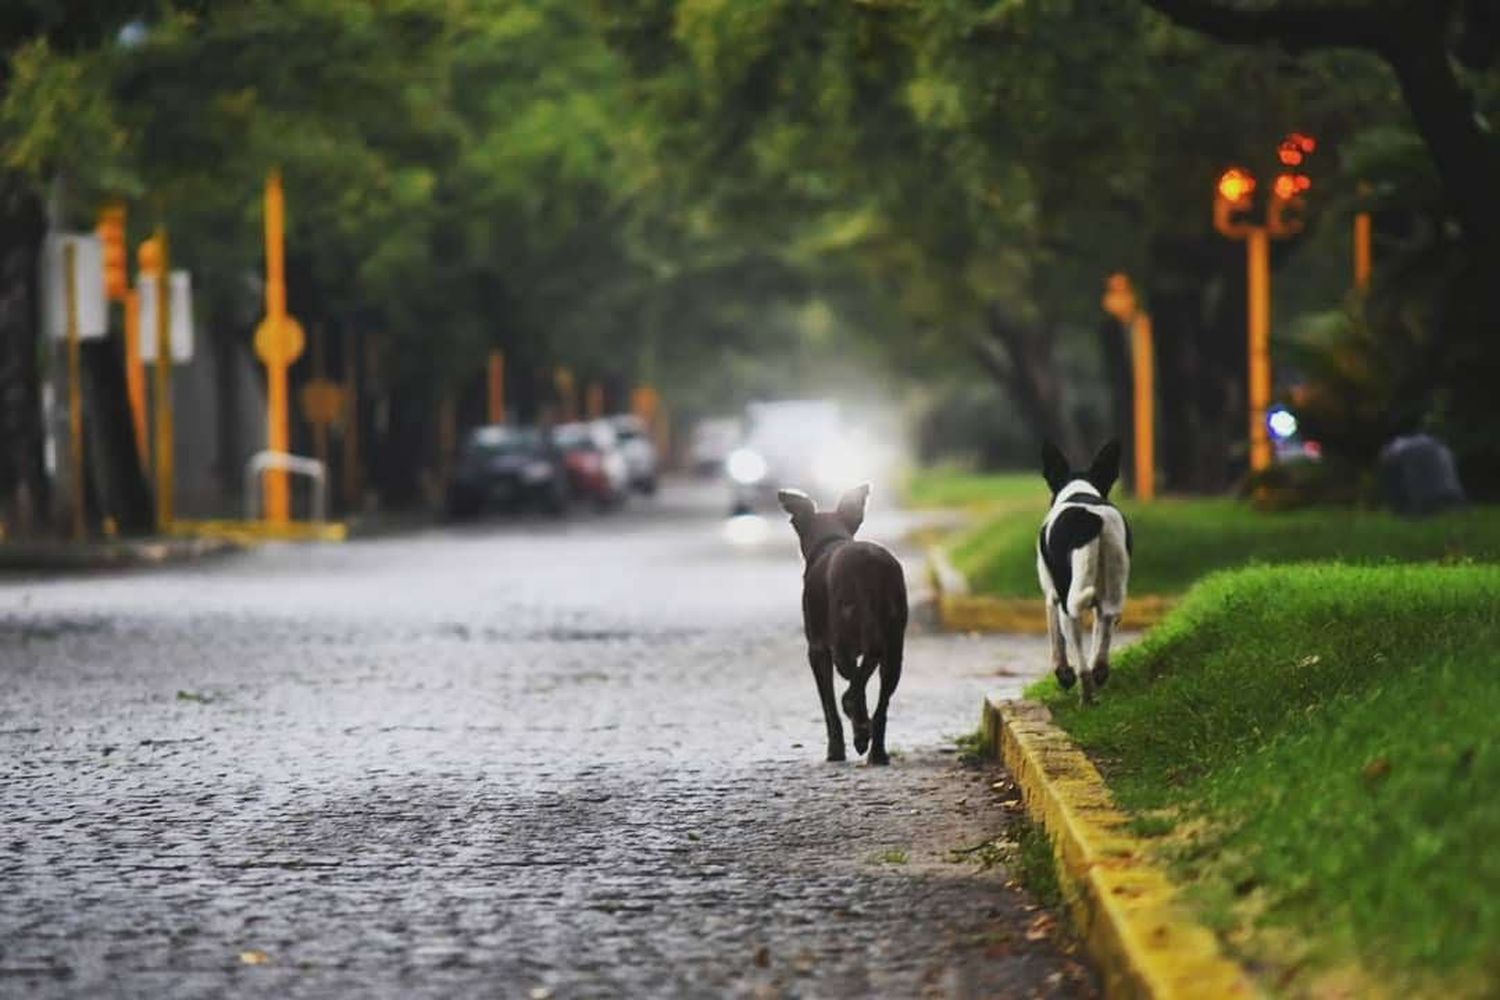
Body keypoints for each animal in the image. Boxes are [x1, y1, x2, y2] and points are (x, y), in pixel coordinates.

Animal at [780, 485, 906, 767]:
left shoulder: (817, 650)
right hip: (894, 645)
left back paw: (859, 728)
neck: (832, 539)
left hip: (842, 642)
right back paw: (876, 751)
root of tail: (872, 565)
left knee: (853, 685)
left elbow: (828, 705)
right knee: (881, 697)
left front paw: (835, 750)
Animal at [1038, 440, 1128, 707]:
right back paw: (1099, 671)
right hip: (1113, 583)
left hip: (1067, 601)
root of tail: (1089, 520)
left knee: (1078, 651)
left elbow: (1056, 637)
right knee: (1106, 623)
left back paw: (1085, 695)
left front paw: (1063, 674)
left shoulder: (1051, 595)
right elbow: (1100, 630)